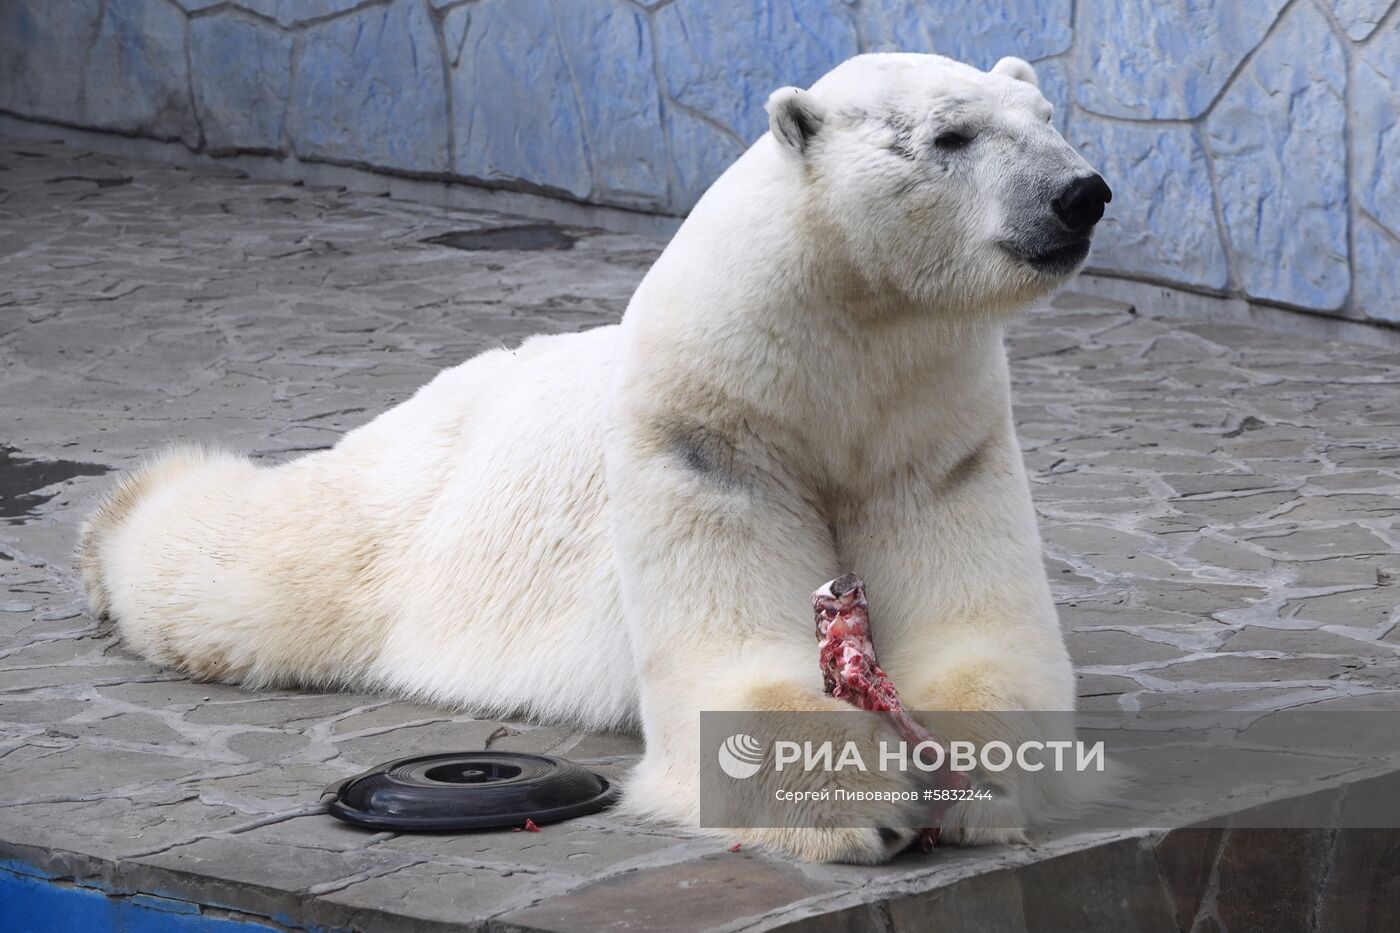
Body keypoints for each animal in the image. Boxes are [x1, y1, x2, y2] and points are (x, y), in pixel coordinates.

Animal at [81, 54, 1108, 862]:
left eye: (1048, 116)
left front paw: (970, 775)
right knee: (257, 566)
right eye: (950, 135)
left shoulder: (937, 433)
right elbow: (728, 654)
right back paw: (123, 515)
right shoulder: (700, 432)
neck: (834, 352)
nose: (1080, 193)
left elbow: (982, 632)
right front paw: (862, 802)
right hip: (410, 511)